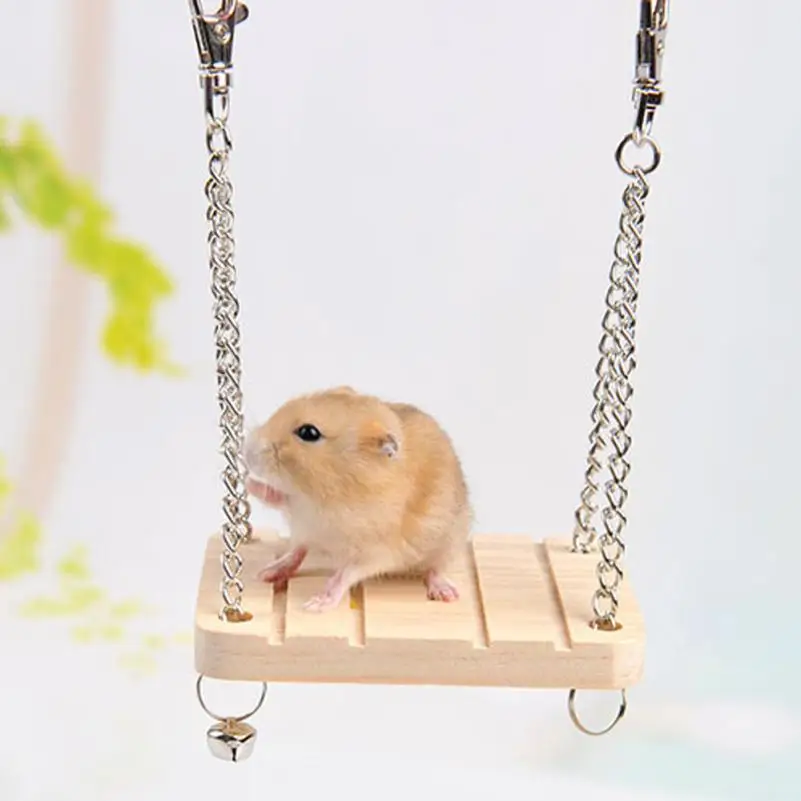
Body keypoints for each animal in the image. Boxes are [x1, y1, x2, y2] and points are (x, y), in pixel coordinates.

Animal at [243, 385, 472, 613]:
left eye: (308, 432)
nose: (247, 452)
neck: (326, 496)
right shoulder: (301, 511)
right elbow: (280, 499)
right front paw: (247, 481)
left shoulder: (376, 551)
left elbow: (346, 574)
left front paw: (316, 604)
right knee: (298, 550)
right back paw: (267, 572)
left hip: (450, 541)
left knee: (437, 568)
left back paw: (446, 593)